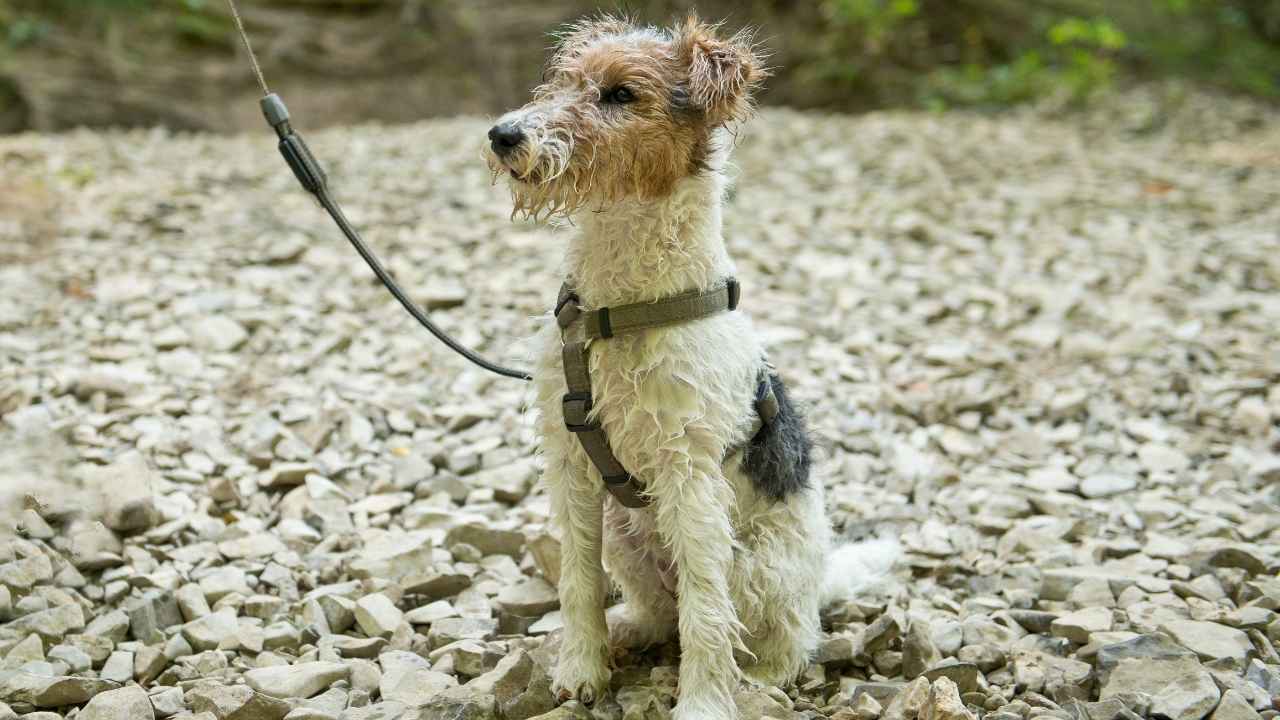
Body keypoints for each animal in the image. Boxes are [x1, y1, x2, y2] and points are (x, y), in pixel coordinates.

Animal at [483, 12, 896, 717]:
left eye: (620, 94)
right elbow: (577, 580)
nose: (503, 134)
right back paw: (626, 631)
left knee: (777, 633)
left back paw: (762, 680)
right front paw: (580, 669)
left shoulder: (689, 473)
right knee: (659, 612)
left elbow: (706, 611)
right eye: (560, 82)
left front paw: (703, 702)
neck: (621, 308)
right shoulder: (570, 464)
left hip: (760, 563)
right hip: (627, 535)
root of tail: (823, 575)